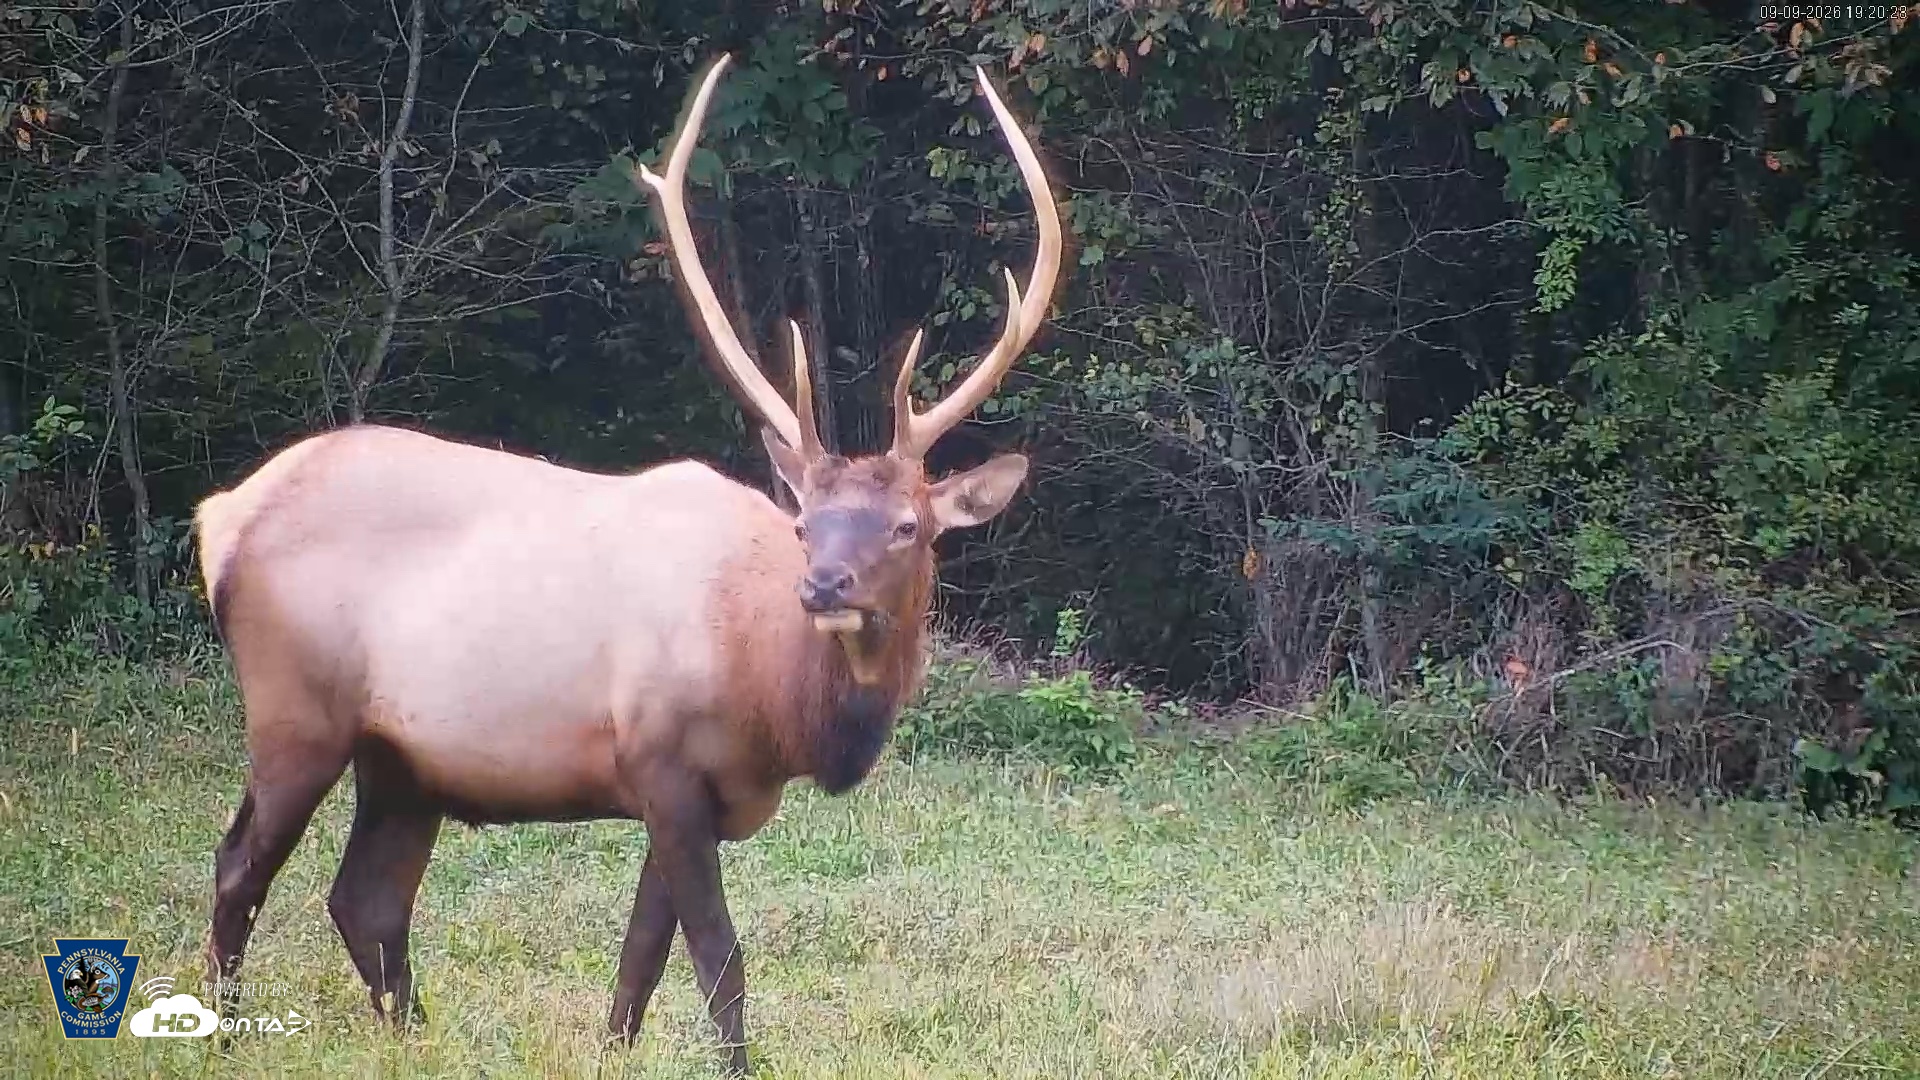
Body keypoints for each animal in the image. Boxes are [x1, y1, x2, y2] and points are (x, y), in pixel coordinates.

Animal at [192, 54, 1062, 1074]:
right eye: (805, 525)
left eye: (907, 527)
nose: (823, 586)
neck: (779, 702)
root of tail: (221, 517)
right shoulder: (663, 760)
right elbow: (719, 955)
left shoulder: (689, 790)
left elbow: (641, 957)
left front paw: (613, 1049)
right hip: (296, 709)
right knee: (241, 867)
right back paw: (223, 1036)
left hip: (402, 756)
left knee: (366, 898)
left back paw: (412, 1035)